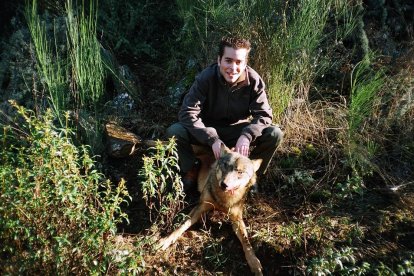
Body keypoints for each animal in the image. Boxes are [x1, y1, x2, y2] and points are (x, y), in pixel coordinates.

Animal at [157, 144, 264, 276]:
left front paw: (254, 262)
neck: (222, 200)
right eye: (225, 166)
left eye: (240, 172)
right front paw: (166, 240)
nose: (224, 184)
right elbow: (181, 226)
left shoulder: (237, 219)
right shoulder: (200, 207)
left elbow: (246, 241)